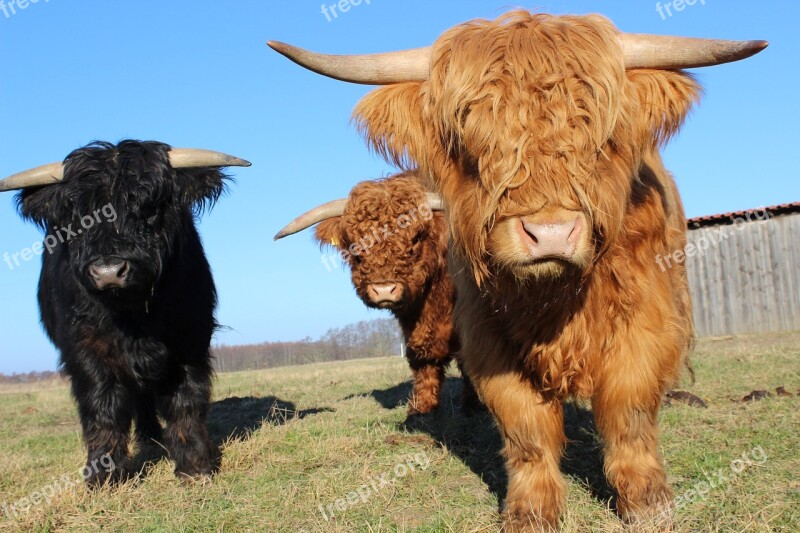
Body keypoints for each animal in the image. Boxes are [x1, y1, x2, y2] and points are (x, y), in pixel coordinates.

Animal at [0, 140, 250, 482]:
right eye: (78, 215)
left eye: (148, 206)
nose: (108, 271)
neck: (134, 315)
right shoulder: (84, 347)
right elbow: (102, 406)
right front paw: (104, 473)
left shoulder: (191, 336)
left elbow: (186, 398)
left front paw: (195, 465)